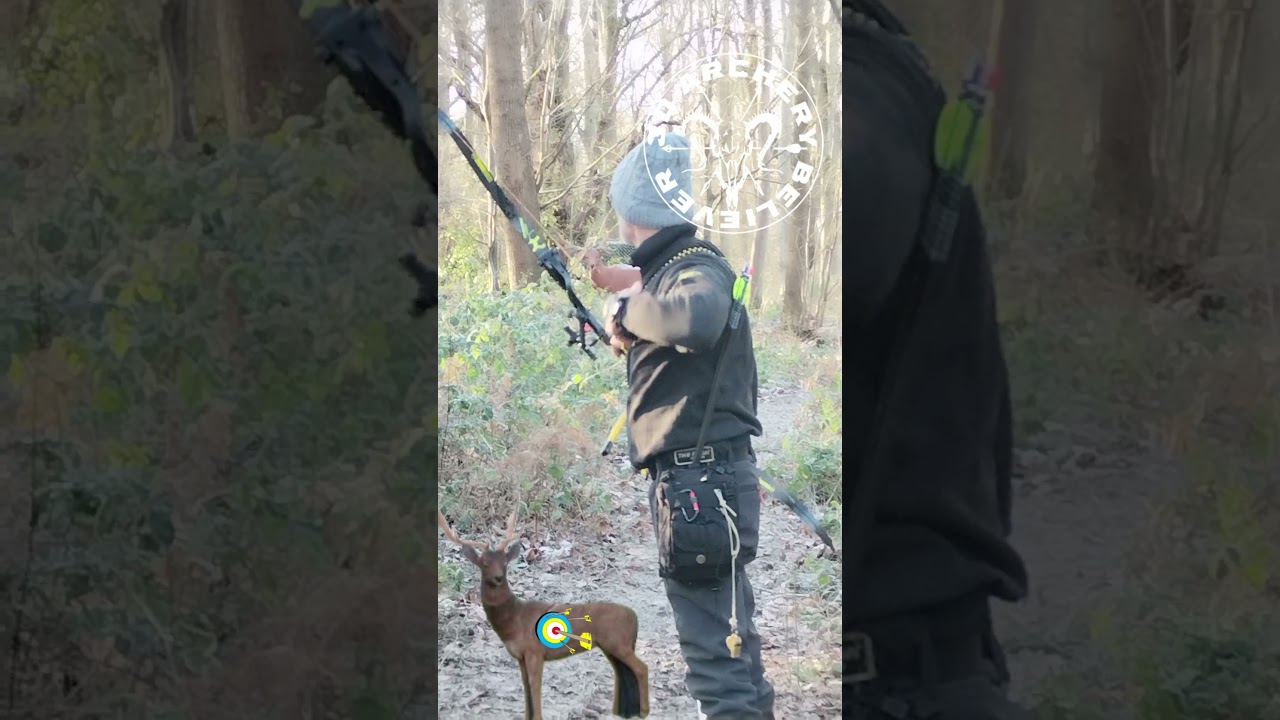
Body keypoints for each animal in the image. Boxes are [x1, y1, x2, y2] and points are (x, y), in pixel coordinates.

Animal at [438, 508, 650, 719]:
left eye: (505, 563)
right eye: (484, 563)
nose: (498, 577)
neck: (514, 622)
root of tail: (634, 618)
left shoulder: (535, 651)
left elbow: (535, 688)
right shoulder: (520, 656)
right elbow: (525, 689)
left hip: (617, 642)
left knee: (641, 667)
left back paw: (643, 711)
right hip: (611, 646)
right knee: (624, 670)